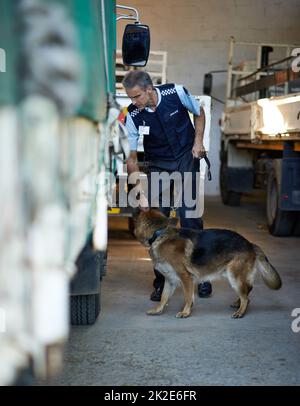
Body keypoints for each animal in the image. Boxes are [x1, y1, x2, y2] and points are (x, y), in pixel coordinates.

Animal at [134, 211, 282, 318]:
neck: (159, 234)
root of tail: (250, 244)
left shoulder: (185, 277)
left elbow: (187, 296)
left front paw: (186, 312)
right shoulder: (170, 279)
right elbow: (164, 297)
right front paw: (158, 310)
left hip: (234, 277)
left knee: (245, 296)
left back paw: (241, 312)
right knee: (247, 291)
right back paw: (238, 304)